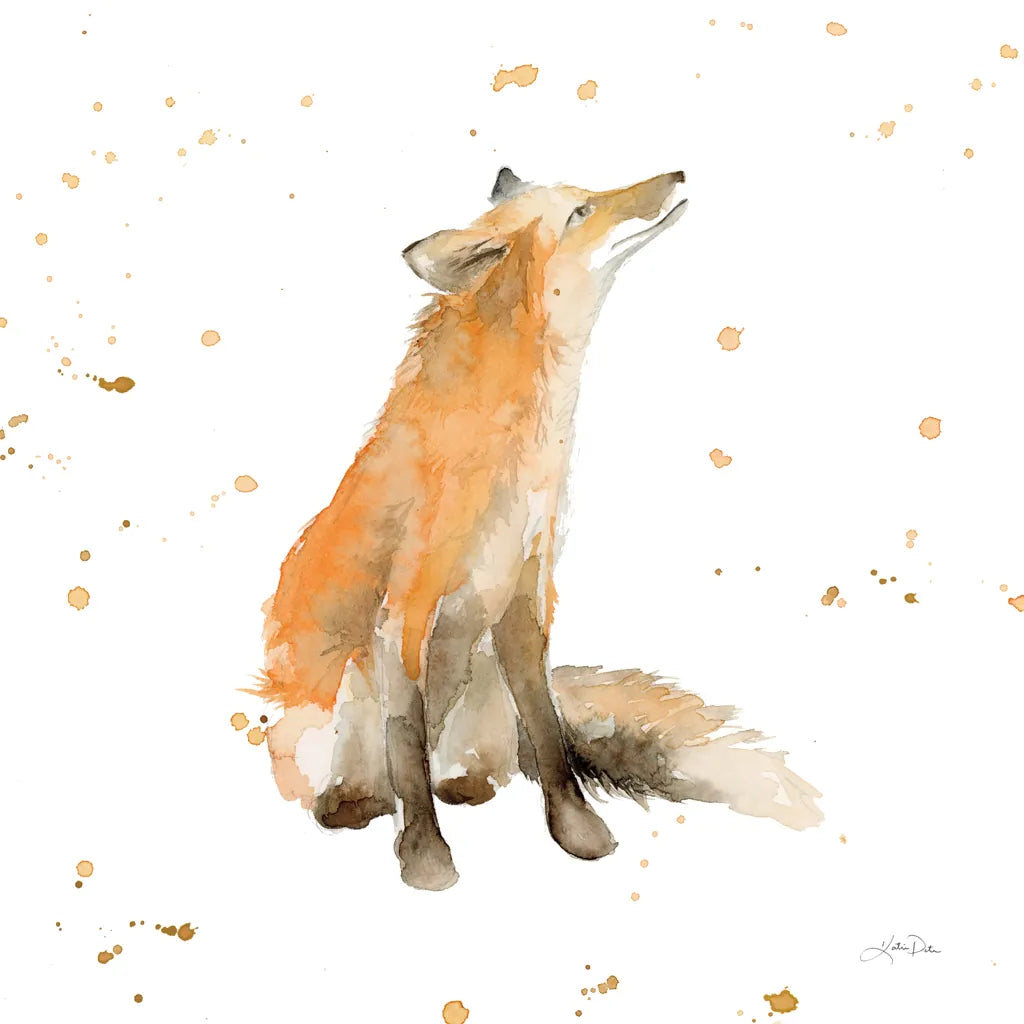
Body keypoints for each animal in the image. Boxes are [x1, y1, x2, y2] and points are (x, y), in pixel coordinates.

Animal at [250, 167, 822, 890]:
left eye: (591, 195)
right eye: (580, 214)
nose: (678, 175)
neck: (521, 464)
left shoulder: (526, 593)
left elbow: (548, 733)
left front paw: (576, 831)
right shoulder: (403, 610)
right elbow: (406, 745)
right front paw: (426, 859)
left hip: (480, 684)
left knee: (471, 764)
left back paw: (460, 786)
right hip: (332, 701)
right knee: (363, 782)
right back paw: (355, 803)